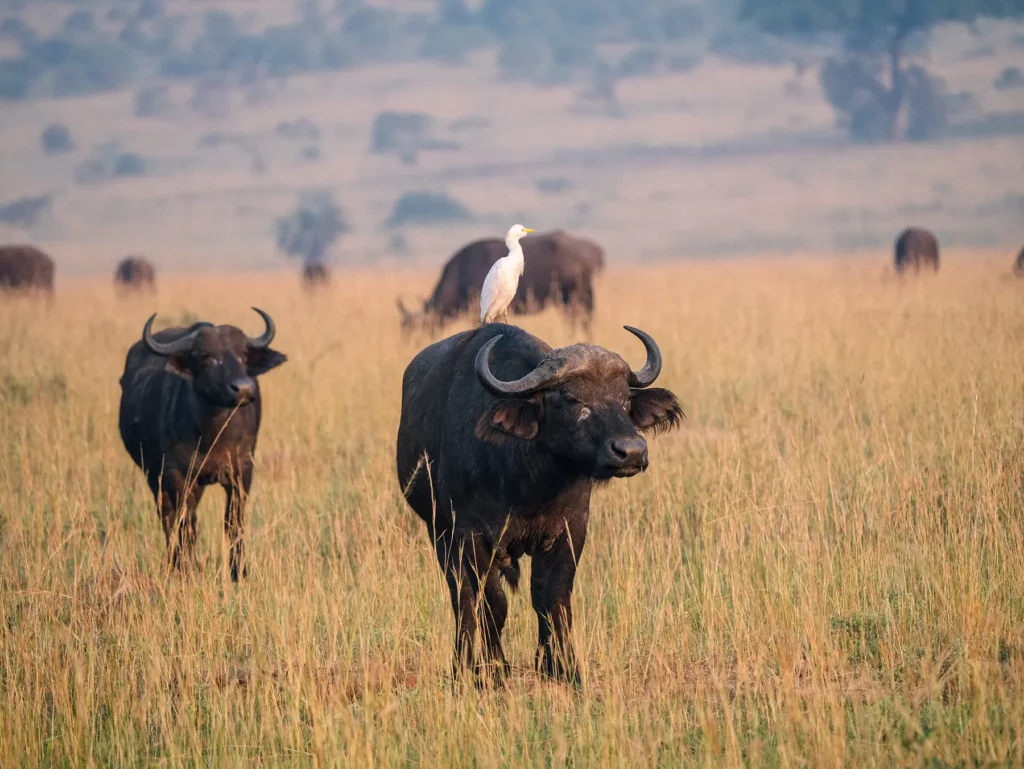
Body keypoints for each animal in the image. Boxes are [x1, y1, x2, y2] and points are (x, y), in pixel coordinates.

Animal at [118, 308, 287, 581]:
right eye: (206, 356)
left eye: (243, 353)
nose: (244, 389)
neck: (211, 435)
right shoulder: (176, 475)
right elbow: (186, 523)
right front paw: (188, 570)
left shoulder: (242, 471)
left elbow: (233, 522)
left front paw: (238, 572)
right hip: (154, 476)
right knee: (168, 517)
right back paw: (174, 564)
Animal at [396, 230, 605, 336]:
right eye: (403, 330)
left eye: (416, 329)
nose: (411, 346)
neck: (462, 271)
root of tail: (592, 250)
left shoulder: (476, 308)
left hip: (574, 296)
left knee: (580, 320)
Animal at [396, 323, 683, 687]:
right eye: (572, 399)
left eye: (624, 399)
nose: (631, 451)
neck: (529, 485)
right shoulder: (471, 535)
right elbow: (493, 603)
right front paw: (496, 670)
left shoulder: (570, 530)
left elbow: (552, 598)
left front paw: (561, 668)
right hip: (439, 534)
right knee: (462, 597)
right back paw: (462, 666)